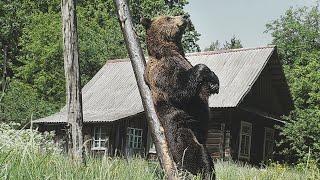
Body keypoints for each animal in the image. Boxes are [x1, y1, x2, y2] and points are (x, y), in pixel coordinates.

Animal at [142, 14, 219, 179]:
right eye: (168, 17)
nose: (185, 16)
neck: (169, 50)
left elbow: (204, 86)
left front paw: (214, 81)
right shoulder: (162, 72)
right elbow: (179, 90)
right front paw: (203, 69)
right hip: (182, 128)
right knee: (192, 152)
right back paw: (201, 171)